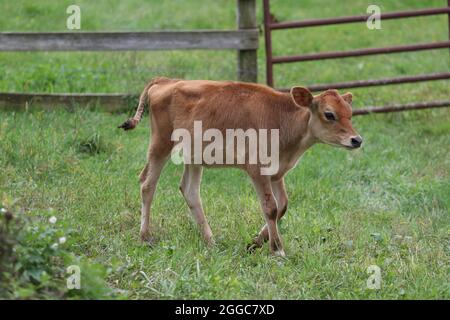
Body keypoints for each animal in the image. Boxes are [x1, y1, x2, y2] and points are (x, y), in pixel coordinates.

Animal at [119, 76, 362, 256]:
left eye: (350, 114)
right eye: (329, 114)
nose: (357, 140)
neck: (283, 120)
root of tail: (167, 80)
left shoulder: (277, 173)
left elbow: (282, 206)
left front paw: (256, 242)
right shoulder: (257, 169)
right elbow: (270, 208)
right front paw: (277, 250)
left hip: (194, 157)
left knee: (190, 191)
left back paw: (210, 241)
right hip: (160, 144)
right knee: (147, 184)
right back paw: (145, 236)